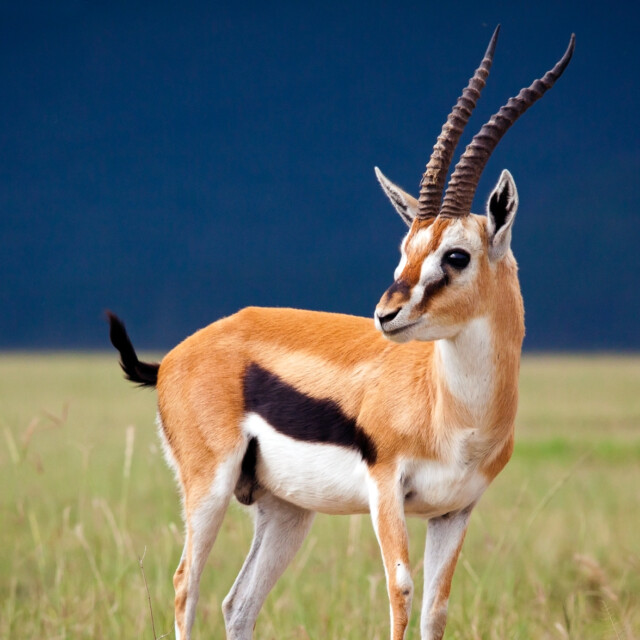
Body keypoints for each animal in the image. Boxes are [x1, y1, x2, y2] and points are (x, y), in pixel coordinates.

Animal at [108, 27, 574, 640]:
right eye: (405, 250)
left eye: (456, 255)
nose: (386, 314)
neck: (452, 409)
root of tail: (172, 359)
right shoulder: (385, 489)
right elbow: (401, 592)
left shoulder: (455, 510)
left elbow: (436, 607)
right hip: (209, 488)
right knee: (187, 584)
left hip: (286, 509)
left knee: (238, 602)